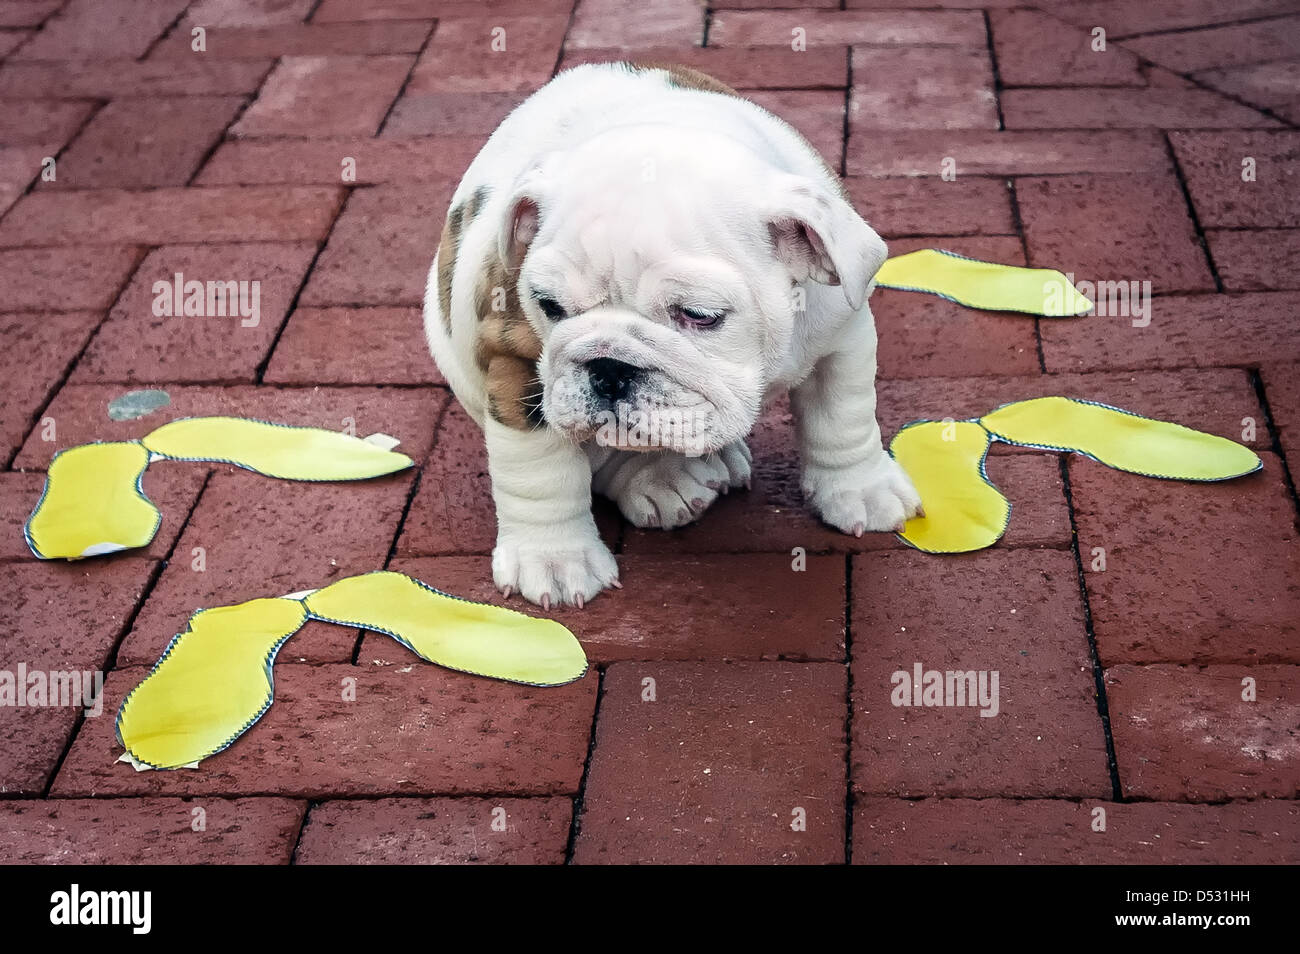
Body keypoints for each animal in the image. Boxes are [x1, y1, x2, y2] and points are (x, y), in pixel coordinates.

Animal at [421, 63, 920, 608]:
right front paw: (554, 557)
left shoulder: (842, 333)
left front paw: (862, 489)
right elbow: (539, 471)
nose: (609, 367)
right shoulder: (513, 360)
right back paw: (663, 478)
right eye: (549, 306)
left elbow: (843, 419)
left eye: (700, 315)